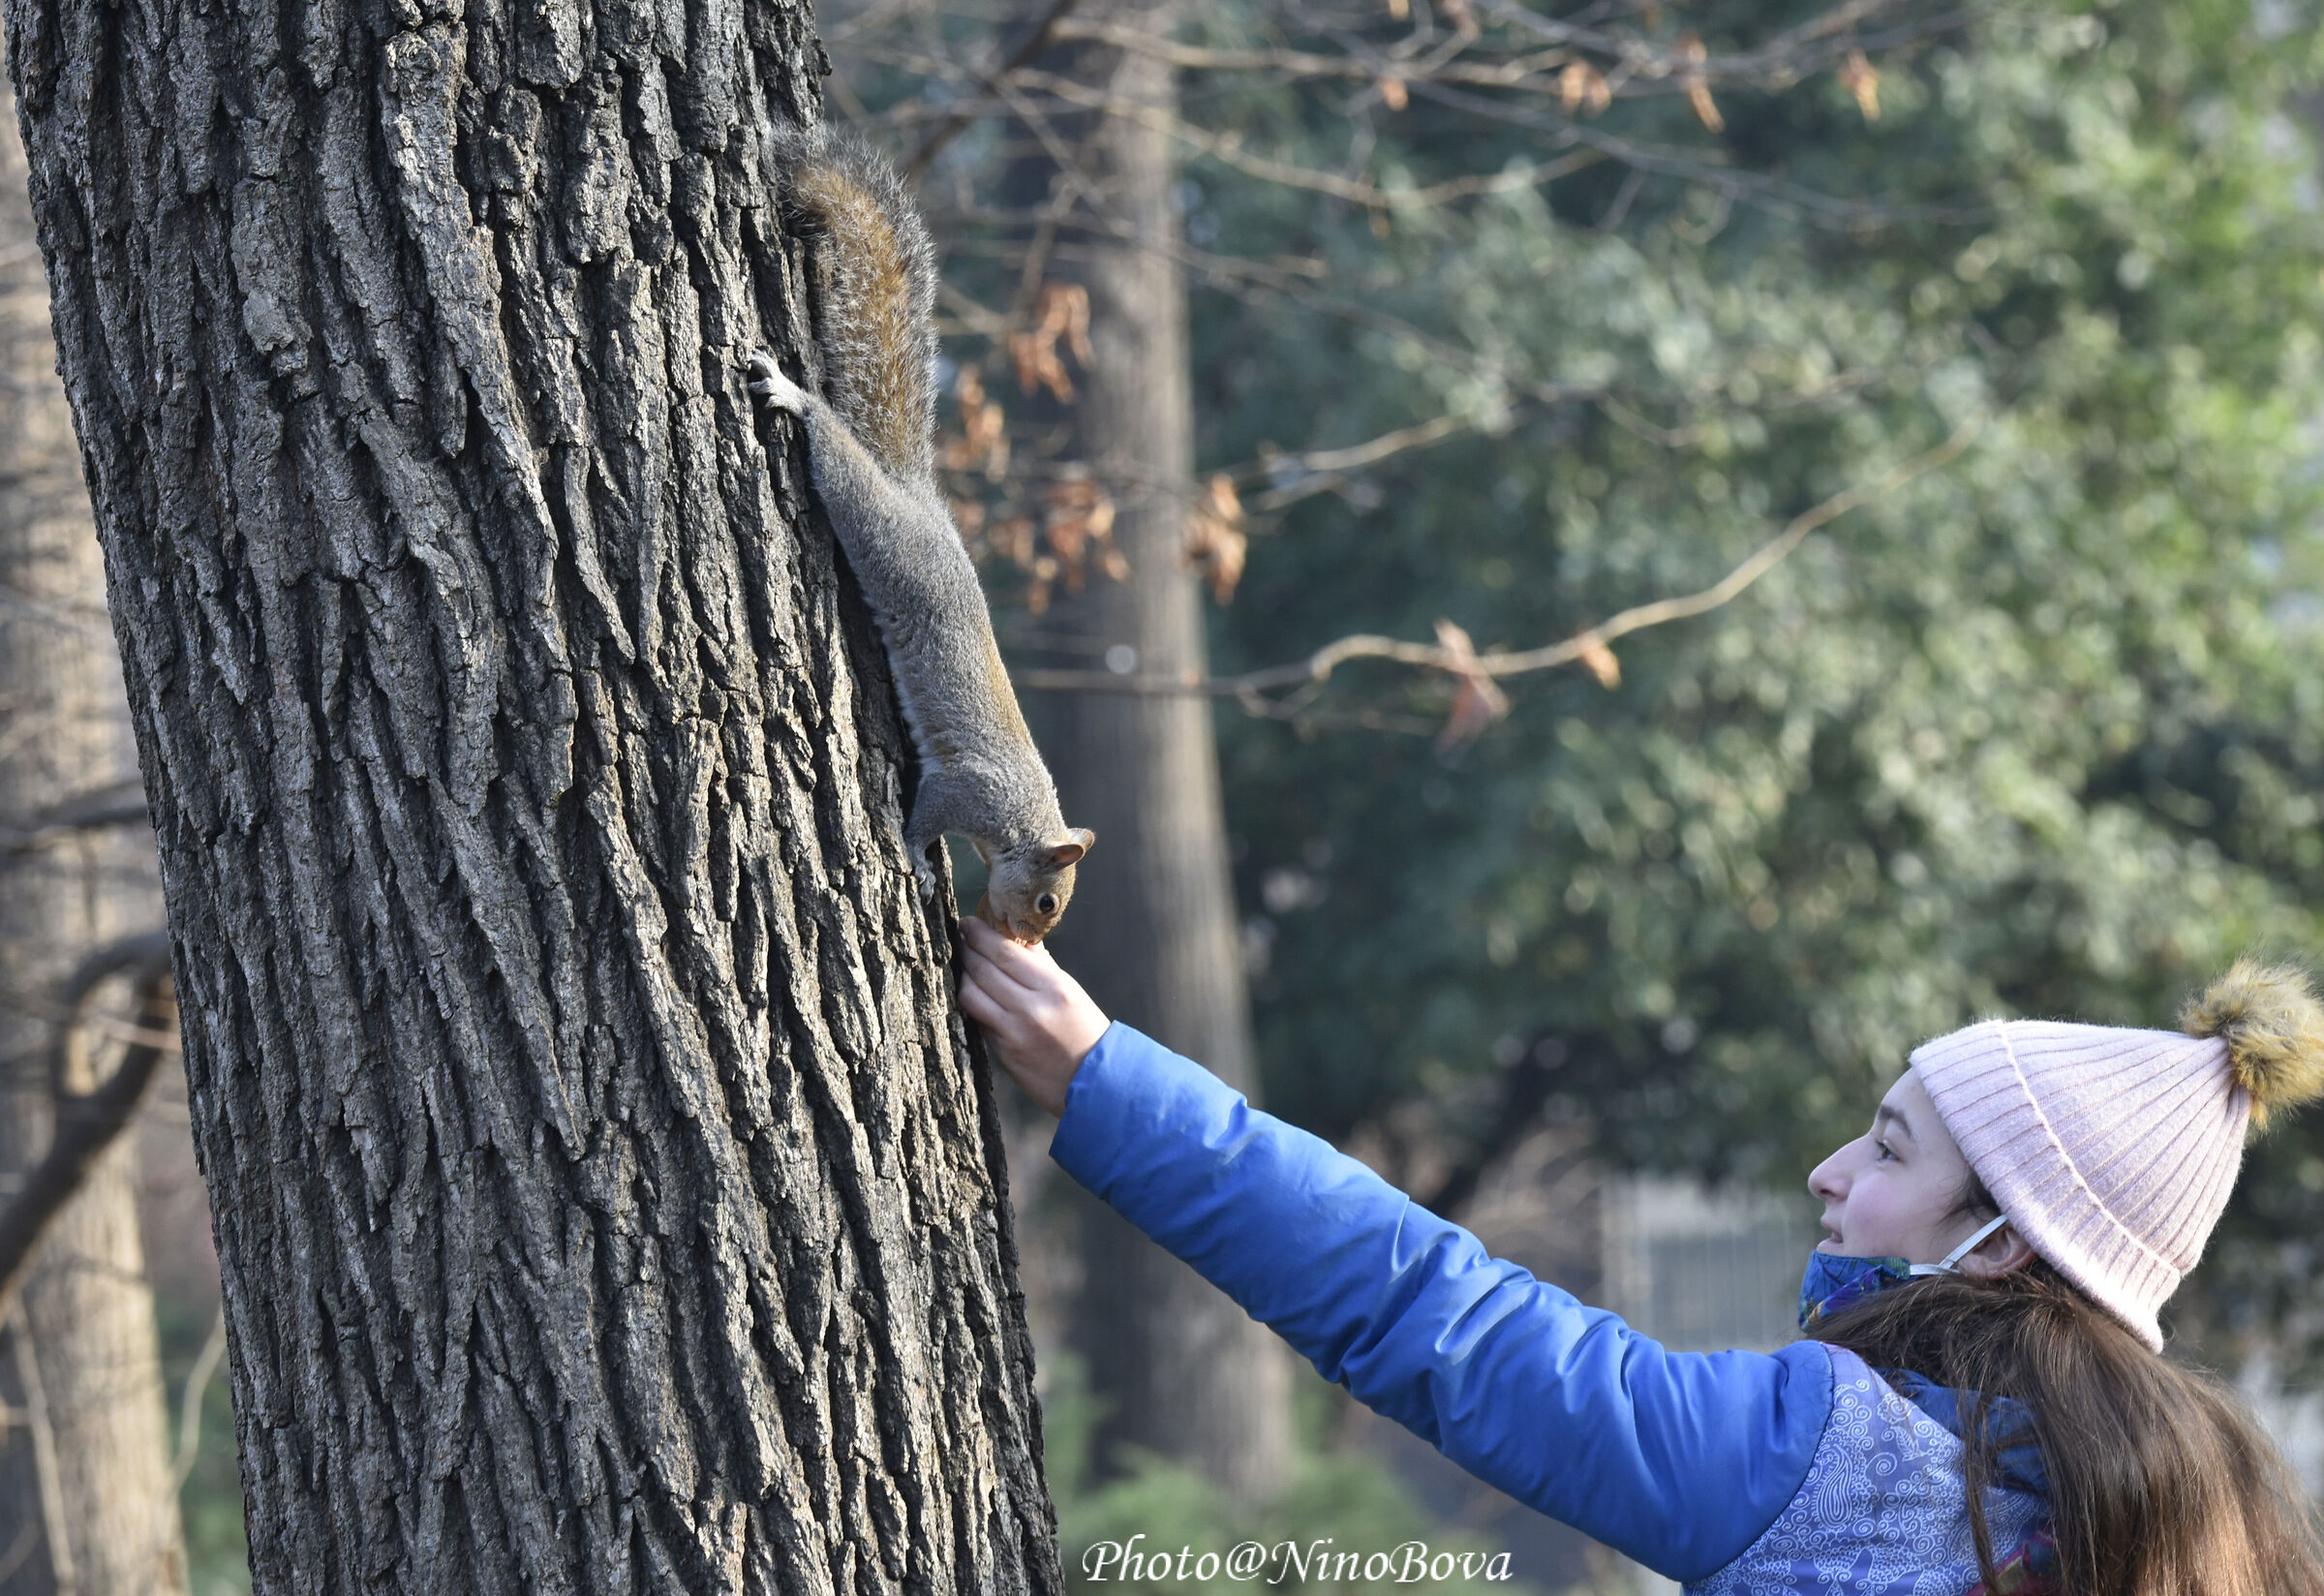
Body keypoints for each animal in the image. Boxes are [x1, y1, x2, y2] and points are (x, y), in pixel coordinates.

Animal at [747, 128, 1094, 944]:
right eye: (1048, 902)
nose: (1027, 940)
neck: (1023, 818)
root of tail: (919, 501)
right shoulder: (966, 789)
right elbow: (925, 815)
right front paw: (914, 855)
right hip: (883, 533)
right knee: (840, 465)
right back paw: (795, 397)